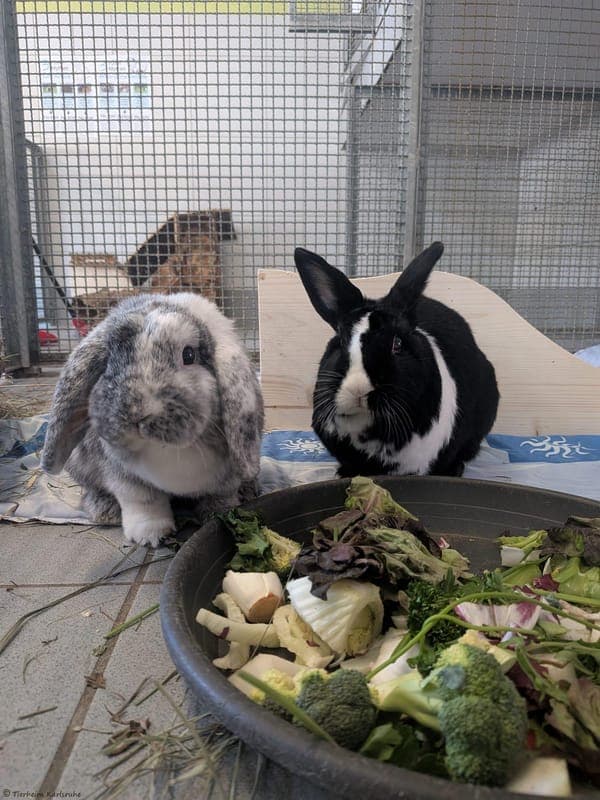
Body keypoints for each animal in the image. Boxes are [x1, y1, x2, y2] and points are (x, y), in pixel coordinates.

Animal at [40, 292, 264, 547]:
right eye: (110, 359)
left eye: (189, 354)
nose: (135, 414)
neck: (166, 450)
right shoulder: (125, 477)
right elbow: (142, 501)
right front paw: (151, 535)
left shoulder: (227, 478)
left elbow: (220, 496)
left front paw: (219, 514)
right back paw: (105, 511)